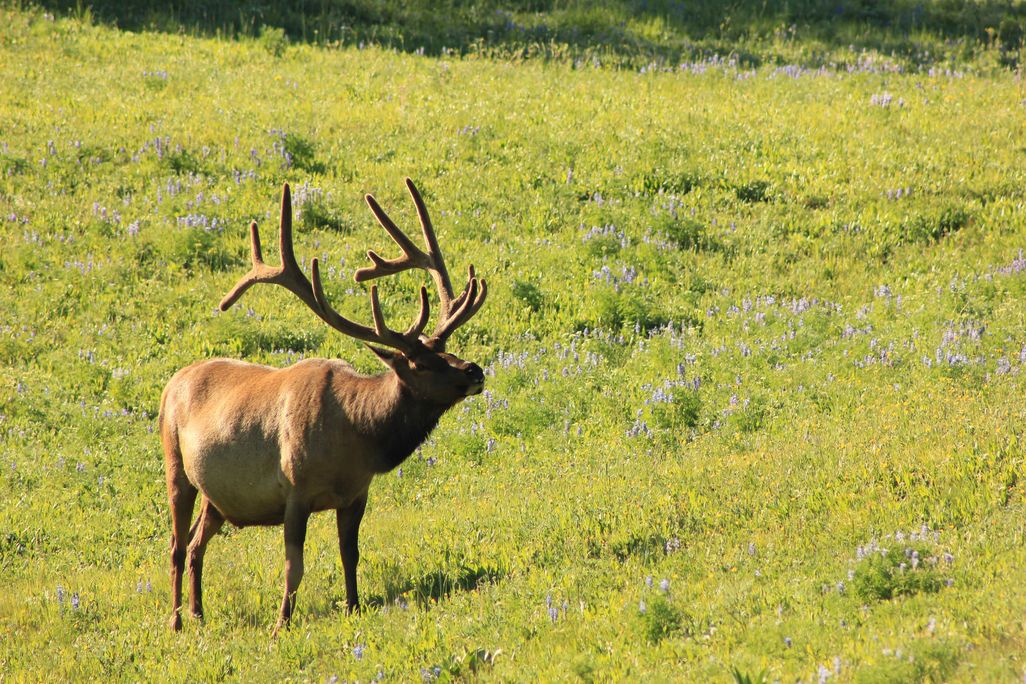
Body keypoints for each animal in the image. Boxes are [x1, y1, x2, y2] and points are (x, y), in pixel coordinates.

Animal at [159, 179, 487, 634]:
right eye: (421, 363)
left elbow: (351, 554)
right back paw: (175, 623)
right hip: (176, 467)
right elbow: (293, 566)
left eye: (447, 349)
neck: (356, 437)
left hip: (216, 496)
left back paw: (198, 613)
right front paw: (282, 624)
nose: (475, 370)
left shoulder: (356, 494)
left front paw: (353, 606)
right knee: (175, 544)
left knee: (194, 544)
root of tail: (171, 383)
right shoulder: (294, 488)